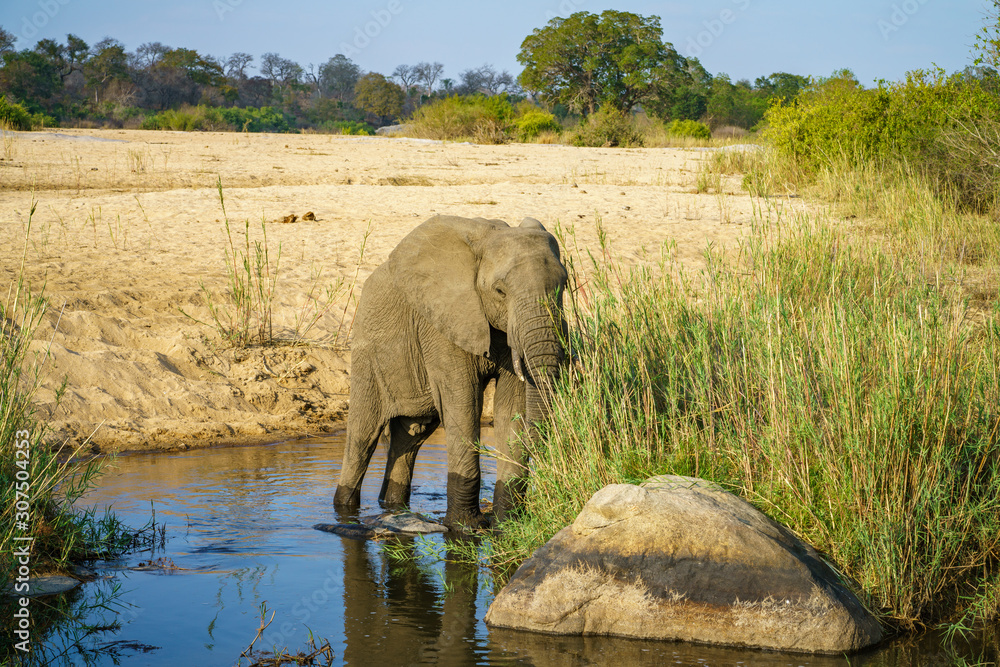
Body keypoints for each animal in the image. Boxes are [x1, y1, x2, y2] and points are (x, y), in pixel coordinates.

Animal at [334, 214, 568, 529]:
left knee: (411, 436)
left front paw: (506, 525)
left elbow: (511, 406)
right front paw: (465, 527)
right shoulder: (440, 324)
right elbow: (463, 403)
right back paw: (345, 511)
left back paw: (392, 508)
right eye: (500, 292)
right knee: (363, 436)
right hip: (367, 353)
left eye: (564, 286)